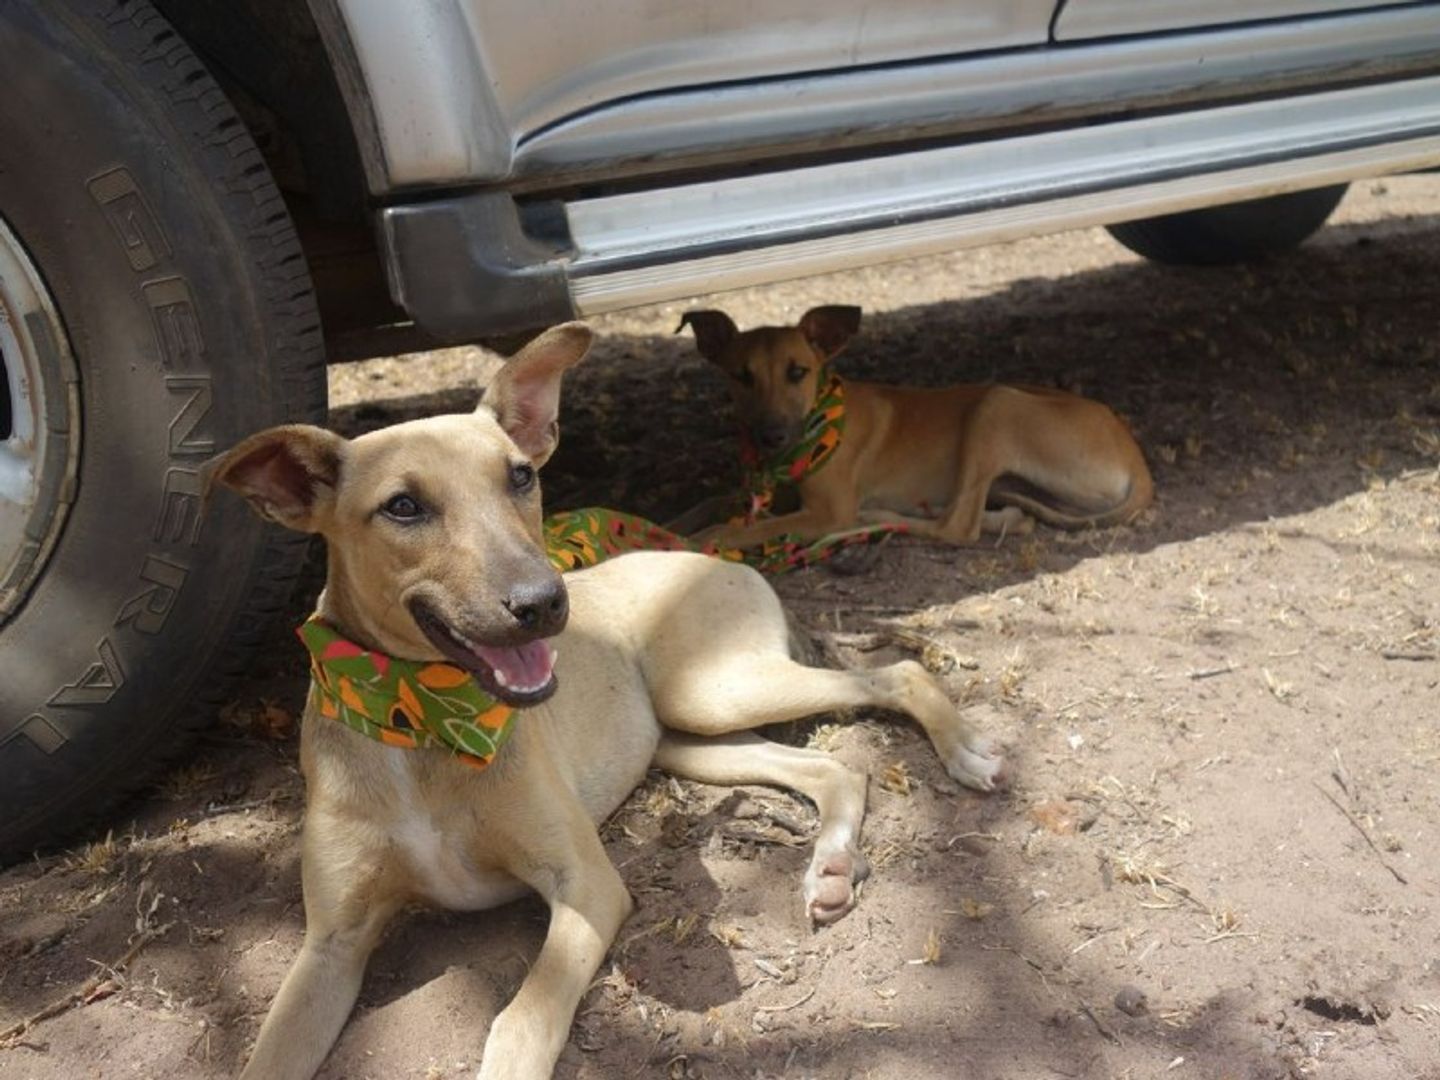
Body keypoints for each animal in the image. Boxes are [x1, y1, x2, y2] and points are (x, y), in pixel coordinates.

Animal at [208, 324, 1008, 1080]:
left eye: (521, 476)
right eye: (402, 506)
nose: (543, 604)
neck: (420, 721)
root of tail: (710, 556)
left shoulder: (587, 887)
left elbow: (520, 1020)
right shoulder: (330, 946)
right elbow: (265, 1059)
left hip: (715, 690)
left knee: (898, 673)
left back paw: (965, 753)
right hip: (688, 736)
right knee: (834, 769)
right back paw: (833, 866)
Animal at [676, 306, 1157, 552]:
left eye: (798, 372)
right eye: (742, 376)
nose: (771, 436)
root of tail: (1136, 456)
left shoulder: (827, 510)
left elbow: (743, 528)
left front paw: (701, 539)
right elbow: (708, 503)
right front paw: (672, 525)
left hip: (996, 406)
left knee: (957, 527)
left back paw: (879, 520)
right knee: (995, 516)